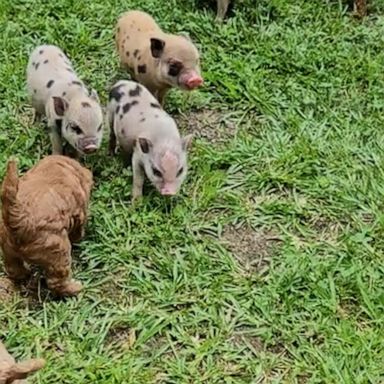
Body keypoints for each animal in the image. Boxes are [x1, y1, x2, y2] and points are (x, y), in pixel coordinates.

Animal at [0, 154, 93, 296]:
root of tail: (17, 217)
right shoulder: (80, 210)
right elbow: (79, 229)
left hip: (7, 247)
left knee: (13, 268)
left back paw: (25, 273)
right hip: (58, 251)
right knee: (56, 282)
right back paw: (76, 288)